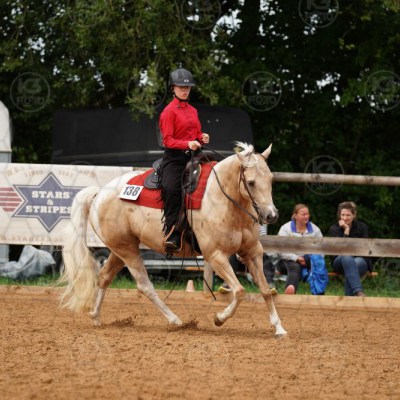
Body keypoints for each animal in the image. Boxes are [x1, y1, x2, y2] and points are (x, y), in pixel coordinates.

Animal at [59, 142, 287, 336]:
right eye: (251, 182)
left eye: (271, 180)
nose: (271, 215)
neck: (223, 199)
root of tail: (99, 193)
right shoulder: (216, 256)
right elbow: (239, 291)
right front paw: (219, 318)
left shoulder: (252, 252)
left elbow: (265, 290)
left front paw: (279, 328)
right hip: (127, 251)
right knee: (145, 286)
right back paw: (175, 320)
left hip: (120, 249)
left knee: (104, 277)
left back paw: (95, 316)